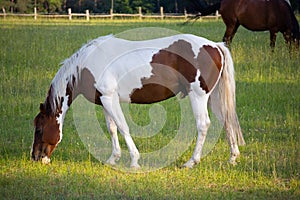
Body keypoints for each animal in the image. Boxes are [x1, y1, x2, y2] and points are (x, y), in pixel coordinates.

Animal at [31, 34, 245, 169]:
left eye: (39, 129)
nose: (36, 157)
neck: (84, 65)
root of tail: (215, 46)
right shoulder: (105, 101)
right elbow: (112, 128)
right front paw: (113, 159)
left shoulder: (109, 99)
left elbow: (123, 127)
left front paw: (134, 161)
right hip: (213, 98)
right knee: (226, 121)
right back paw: (233, 158)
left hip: (199, 97)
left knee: (203, 125)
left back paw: (191, 162)